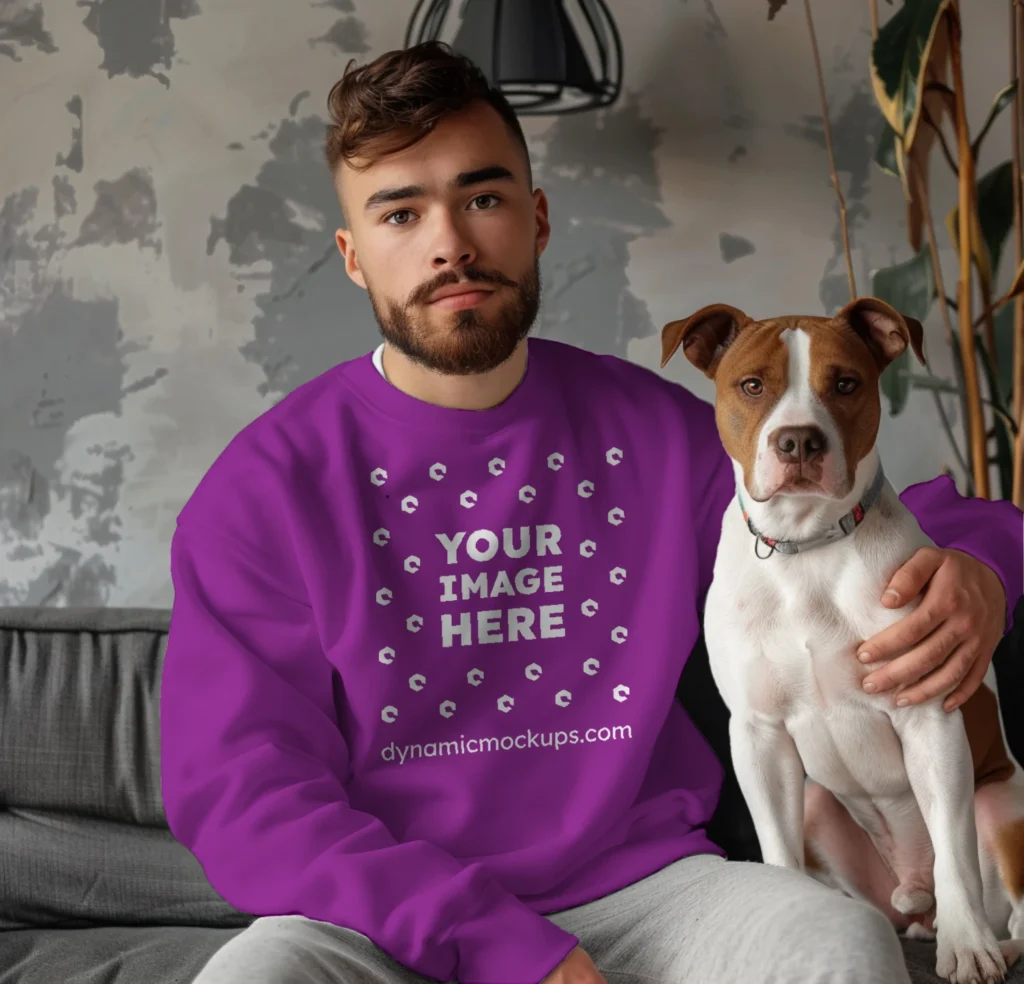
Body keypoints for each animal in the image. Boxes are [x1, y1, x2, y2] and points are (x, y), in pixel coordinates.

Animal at [659, 294, 1024, 978]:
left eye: (846, 384)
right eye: (752, 386)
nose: (798, 439)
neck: (806, 546)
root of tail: (912, 896)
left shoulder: (929, 717)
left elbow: (954, 849)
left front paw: (967, 949)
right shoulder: (758, 735)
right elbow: (777, 853)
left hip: (1003, 806)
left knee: (1004, 901)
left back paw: (988, 940)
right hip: (818, 806)